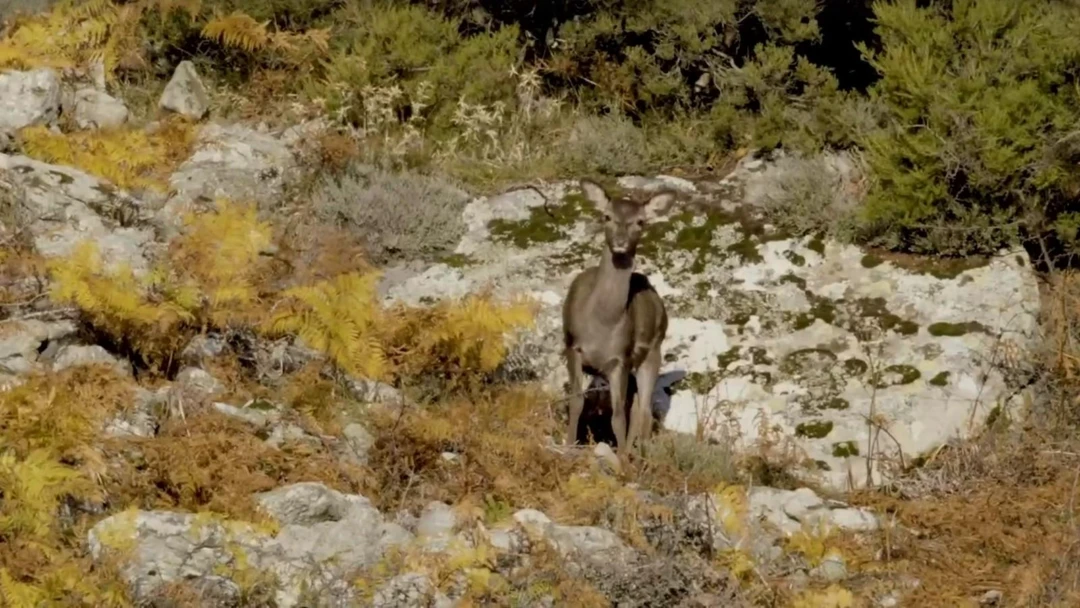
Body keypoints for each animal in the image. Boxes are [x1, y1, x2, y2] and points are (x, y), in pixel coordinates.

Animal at [562, 179, 674, 463]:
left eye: (640, 221)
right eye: (607, 216)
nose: (621, 241)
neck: (601, 325)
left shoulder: (619, 360)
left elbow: (618, 417)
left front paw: (622, 460)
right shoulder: (572, 346)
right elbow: (576, 402)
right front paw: (568, 445)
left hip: (653, 351)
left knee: (643, 409)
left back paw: (639, 455)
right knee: (638, 406)